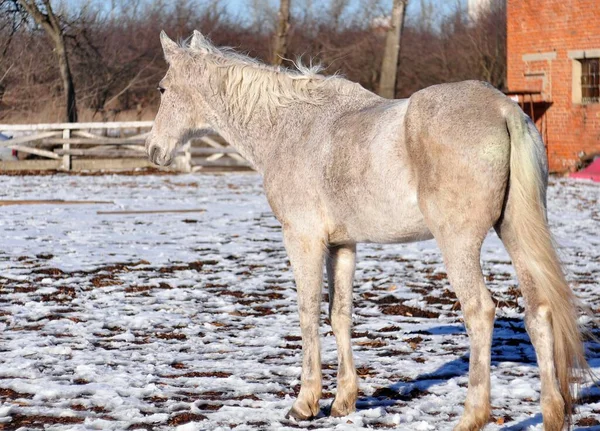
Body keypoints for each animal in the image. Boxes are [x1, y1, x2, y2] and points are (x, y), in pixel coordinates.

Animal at [148, 31, 588, 431]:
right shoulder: (342, 245)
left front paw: (305, 403)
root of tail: (503, 110)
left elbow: (307, 312)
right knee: (539, 311)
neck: (292, 128)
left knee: (479, 311)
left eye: (163, 88)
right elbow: (339, 313)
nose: (153, 150)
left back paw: (471, 417)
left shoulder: (302, 239)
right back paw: (552, 414)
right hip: (514, 233)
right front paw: (343, 401)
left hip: (458, 244)